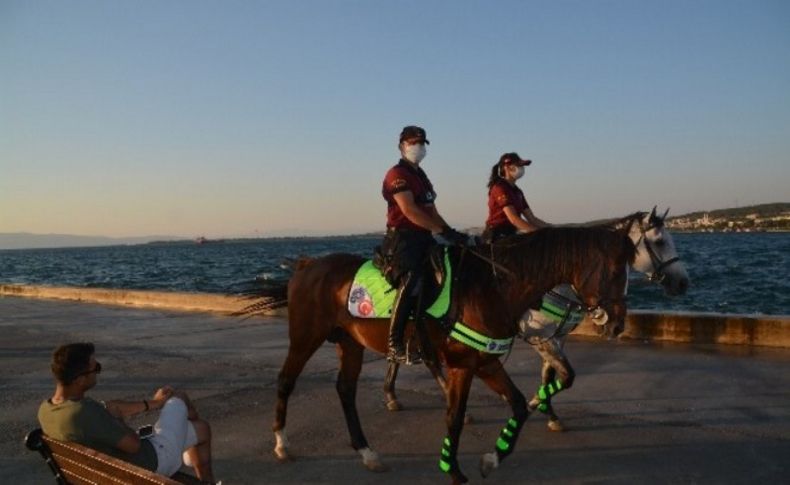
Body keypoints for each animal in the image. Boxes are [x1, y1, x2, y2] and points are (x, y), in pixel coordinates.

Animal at [244, 222, 640, 480]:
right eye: (614, 270)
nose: (617, 324)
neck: (492, 287)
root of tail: (307, 264)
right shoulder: (464, 365)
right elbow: (454, 416)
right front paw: (453, 470)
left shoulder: (486, 361)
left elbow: (516, 405)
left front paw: (492, 458)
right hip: (305, 336)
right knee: (286, 380)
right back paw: (281, 444)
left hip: (350, 342)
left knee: (345, 390)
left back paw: (368, 453)